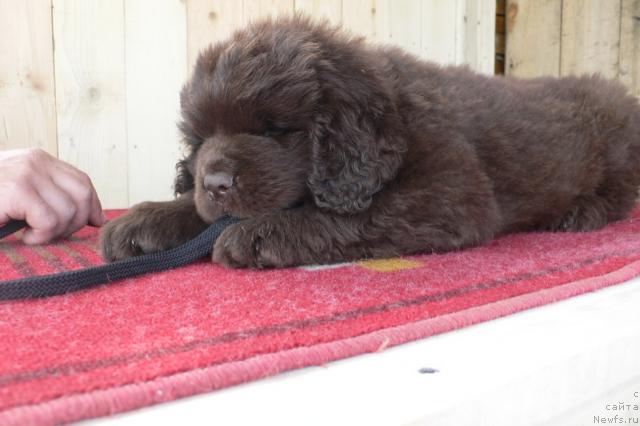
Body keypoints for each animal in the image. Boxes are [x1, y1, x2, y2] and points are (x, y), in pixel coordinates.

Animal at [100, 17, 640, 270]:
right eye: (199, 136)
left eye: (274, 129)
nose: (214, 183)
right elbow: (193, 210)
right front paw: (145, 220)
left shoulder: (451, 195)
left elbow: (357, 214)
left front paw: (262, 234)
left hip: (615, 148)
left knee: (619, 194)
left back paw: (579, 213)